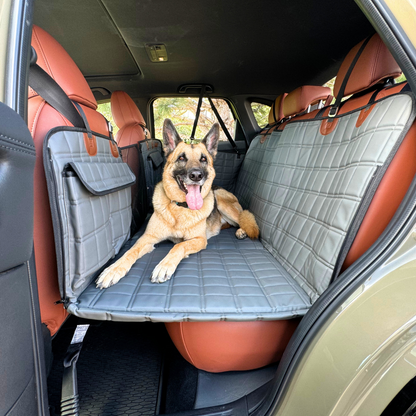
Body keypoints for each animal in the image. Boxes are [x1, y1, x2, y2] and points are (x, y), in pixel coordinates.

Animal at [97, 117, 258, 286]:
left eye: (203, 159)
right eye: (181, 158)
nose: (196, 175)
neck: (181, 208)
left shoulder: (199, 240)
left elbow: (179, 245)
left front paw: (164, 266)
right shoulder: (147, 238)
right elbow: (130, 251)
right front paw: (114, 269)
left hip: (221, 200)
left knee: (243, 219)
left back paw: (242, 230)